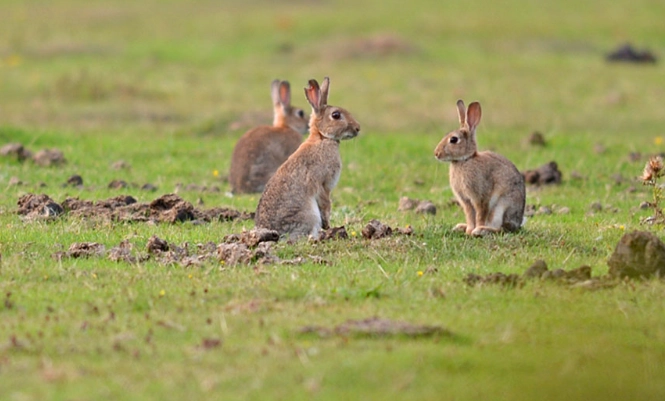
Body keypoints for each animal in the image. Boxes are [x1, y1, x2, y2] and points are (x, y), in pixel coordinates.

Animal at [255, 77, 361, 240]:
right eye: (336, 115)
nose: (357, 128)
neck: (322, 137)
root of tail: (274, 233)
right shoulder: (324, 183)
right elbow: (326, 205)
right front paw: (328, 227)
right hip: (310, 214)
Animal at [434, 100, 525, 237]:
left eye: (453, 139)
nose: (436, 153)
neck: (465, 160)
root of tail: (518, 222)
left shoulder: (480, 197)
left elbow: (480, 215)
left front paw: (473, 230)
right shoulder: (465, 200)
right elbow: (470, 215)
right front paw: (468, 231)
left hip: (502, 207)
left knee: (502, 229)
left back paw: (481, 230)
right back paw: (461, 227)